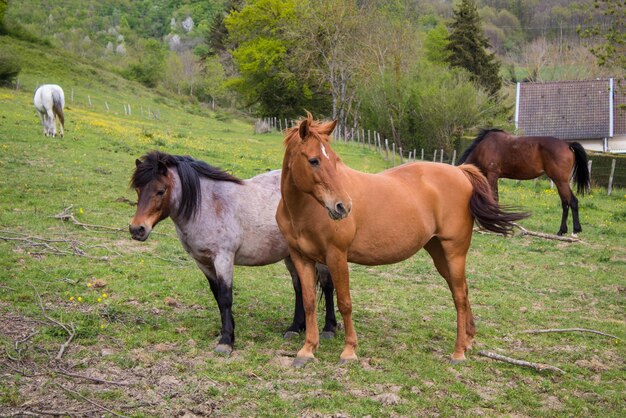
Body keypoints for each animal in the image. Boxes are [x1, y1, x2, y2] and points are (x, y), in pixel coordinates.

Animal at [128, 152, 336, 354]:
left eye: (160, 191)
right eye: (138, 190)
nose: (137, 229)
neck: (209, 205)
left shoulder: (223, 258)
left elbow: (226, 297)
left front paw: (226, 341)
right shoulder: (203, 262)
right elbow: (218, 296)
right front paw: (228, 331)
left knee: (327, 286)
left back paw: (329, 329)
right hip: (290, 255)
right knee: (300, 287)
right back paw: (294, 328)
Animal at [276, 112, 524, 366]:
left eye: (335, 160)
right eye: (314, 160)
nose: (342, 206)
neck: (305, 210)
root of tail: (461, 172)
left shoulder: (337, 256)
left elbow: (345, 303)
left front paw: (349, 351)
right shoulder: (301, 258)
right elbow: (308, 302)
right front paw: (307, 349)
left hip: (454, 252)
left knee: (459, 296)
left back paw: (458, 352)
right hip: (439, 253)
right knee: (463, 290)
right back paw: (468, 340)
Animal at [456, 128, 588, 235]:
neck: (483, 148)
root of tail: (567, 144)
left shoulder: (492, 175)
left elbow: (493, 198)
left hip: (560, 181)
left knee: (572, 201)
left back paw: (573, 230)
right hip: (560, 181)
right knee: (565, 203)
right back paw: (563, 230)